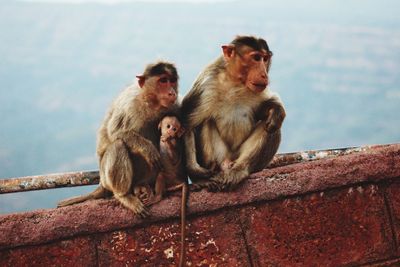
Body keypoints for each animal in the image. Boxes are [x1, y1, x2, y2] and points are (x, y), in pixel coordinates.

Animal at [57, 61, 180, 218]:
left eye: (172, 80)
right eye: (163, 80)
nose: (172, 92)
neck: (150, 102)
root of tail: (102, 184)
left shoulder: (175, 105)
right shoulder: (130, 103)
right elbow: (115, 132)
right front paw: (148, 149)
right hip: (106, 176)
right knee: (118, 145)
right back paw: (124, 195)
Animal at [181, 35, 284, 192]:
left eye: (265, 59)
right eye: (256, 58)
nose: (264, 74)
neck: (235, 81)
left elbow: (264, 110)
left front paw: (276, 110)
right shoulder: (206, 85)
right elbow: (187, 125)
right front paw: (198, 175)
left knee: (271, 125)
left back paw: (239, 170)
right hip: (220, 157)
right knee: (205, 121)